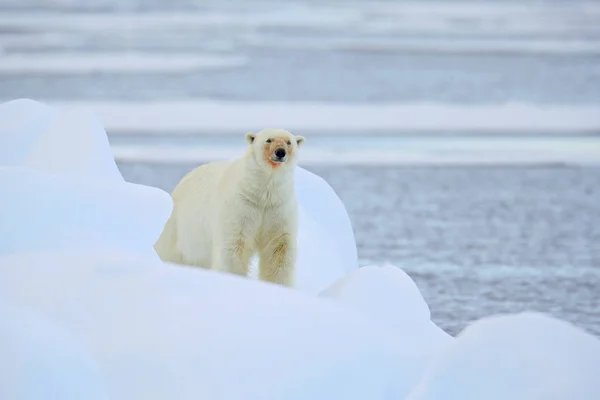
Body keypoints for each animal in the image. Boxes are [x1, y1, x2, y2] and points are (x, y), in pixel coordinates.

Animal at [155, 128, 304, 288]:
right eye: (268, 140)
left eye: (289, 142)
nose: (280, 152)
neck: (260, 193)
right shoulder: (241, 205)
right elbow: (234, 244)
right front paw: (234, 278)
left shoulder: (278, 207)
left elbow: (279, 247)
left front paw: (278, 285)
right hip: (180, 226)